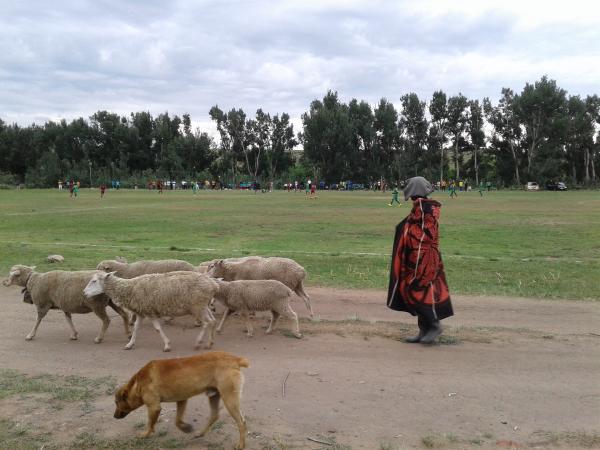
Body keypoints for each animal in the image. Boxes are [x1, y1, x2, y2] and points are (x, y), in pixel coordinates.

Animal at [82, 268, 218, 354]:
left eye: (94, 281)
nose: (84, 293)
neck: (129, 288)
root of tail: (212, 284)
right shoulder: (141, 312)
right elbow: (136, 328)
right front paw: (130, 344)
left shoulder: (149, 311)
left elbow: (157, 329)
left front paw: (167, 345)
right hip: (203, 306)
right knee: (212, 321)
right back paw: (210, 343)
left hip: (197, 306)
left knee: (207, 323)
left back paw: (199, 342)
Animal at [112, 352, 248, 450]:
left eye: (116, 402)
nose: (114, 416)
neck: (137, 384)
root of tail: (235, 359)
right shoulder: (182, 400)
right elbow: (177, 421)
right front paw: (185, 428)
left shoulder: (154, 407)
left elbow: (150, 424)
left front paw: (145, 435)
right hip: (214, 396)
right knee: (214, 416)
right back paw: (200, 433)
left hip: (229, 399)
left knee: (241, 423)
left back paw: (241, 445)